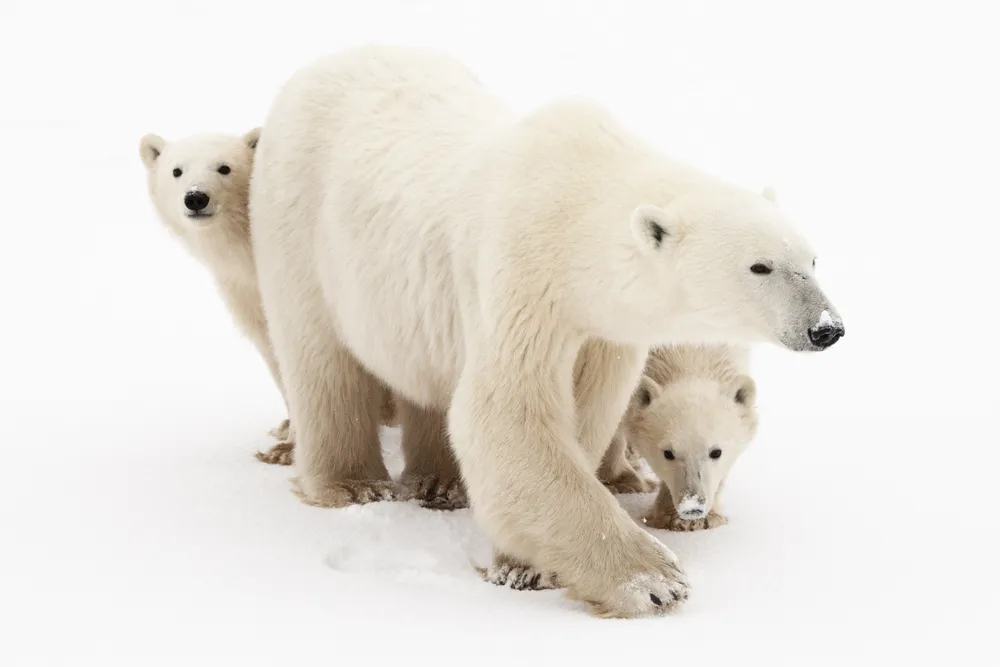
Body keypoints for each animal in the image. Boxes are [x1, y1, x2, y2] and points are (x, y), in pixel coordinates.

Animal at [248, 44, 845, 618]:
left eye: (812, 259)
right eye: (760, 266)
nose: (827, 328)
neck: (576, 216)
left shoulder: (602, 329)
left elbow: (584, 412)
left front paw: (529, 563)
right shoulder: (522, 275)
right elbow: (506, 414)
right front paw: (652, 581)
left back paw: (438, 482)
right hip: (298, 224)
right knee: (320, 357)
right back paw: (353, 483)